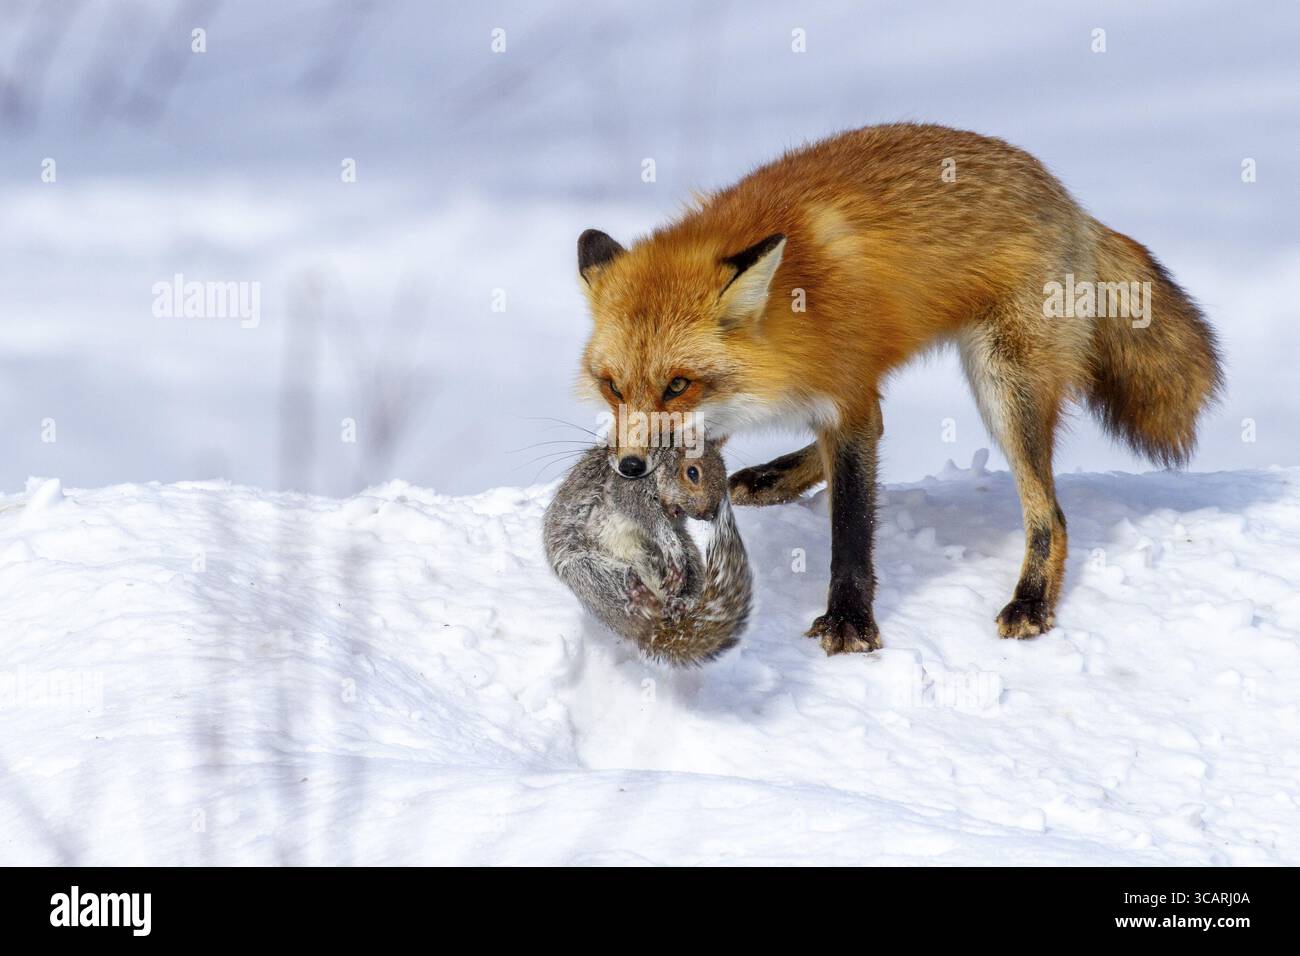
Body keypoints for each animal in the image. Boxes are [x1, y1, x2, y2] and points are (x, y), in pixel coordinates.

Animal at [543, 439, 752, 665]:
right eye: (693, 473)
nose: (708, 514)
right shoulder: (628, 487)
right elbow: (648, 517)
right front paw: (671, 546)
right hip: (587, 572)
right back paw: (641, 595)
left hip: (690, 558)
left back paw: (681, 603)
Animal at [574, 123, 1222, 655]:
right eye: (612, 387)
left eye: (678, 384)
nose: (629, 467)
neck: (794, 309)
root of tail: (1070, 201)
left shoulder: (847, 400)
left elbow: (852, 527)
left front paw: (850, 621)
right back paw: (772, 476)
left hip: (1004, 383)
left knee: (1051, 516)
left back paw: (1031, 600)